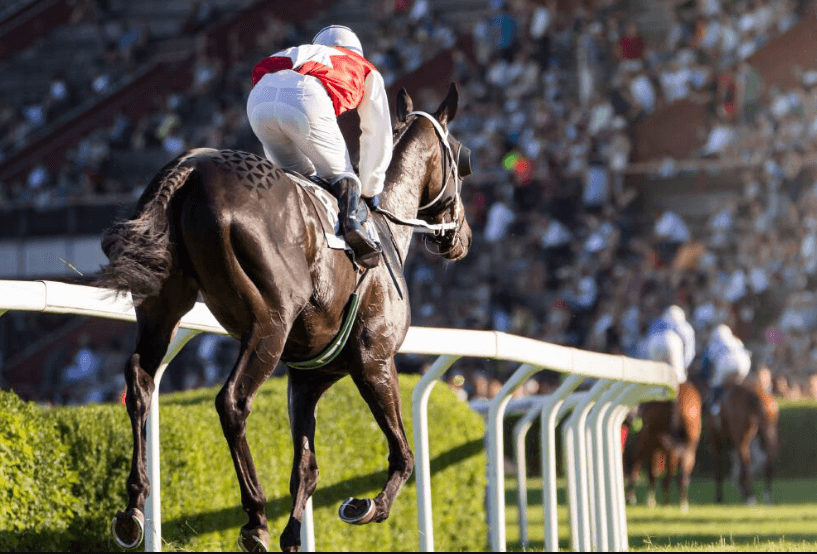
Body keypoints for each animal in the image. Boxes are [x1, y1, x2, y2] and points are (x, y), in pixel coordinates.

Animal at [93, 83, 473, 552]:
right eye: (463, 162)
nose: (461, 237)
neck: (384, 228)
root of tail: (191, 169)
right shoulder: (375, 359)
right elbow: (403, 453)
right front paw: (366, 506)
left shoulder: (307, 378)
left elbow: (305, 469)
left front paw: (294, 535)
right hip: (270, 323)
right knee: (232, 401)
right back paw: (254, 517)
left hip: (162, 307)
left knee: (140, 382)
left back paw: (133, 508)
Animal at [624, 381, 702, 512]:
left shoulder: (648, 441)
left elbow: (648, 469)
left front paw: (642, 499)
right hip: (689, 446)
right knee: (683, 475)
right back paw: (682, 504)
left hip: (656, 441)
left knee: (664, 475)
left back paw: (665, 503)